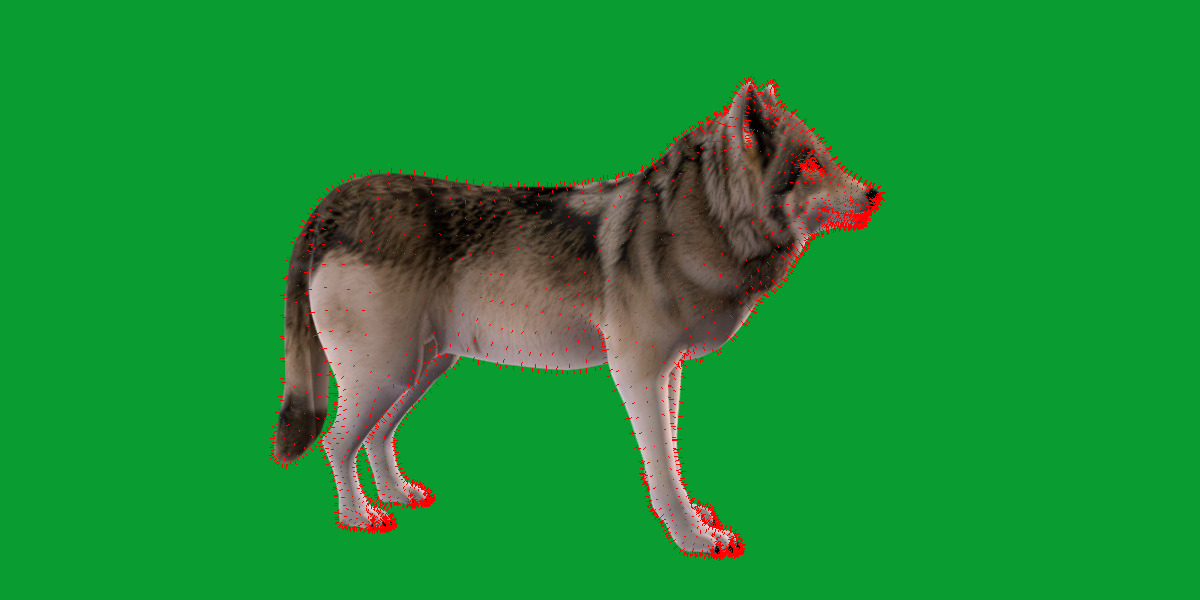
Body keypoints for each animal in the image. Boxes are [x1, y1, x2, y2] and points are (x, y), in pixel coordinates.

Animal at [273, 79, 882, 558]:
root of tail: (335, 202)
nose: (875, 192)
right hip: (390, 375)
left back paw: (397, 496)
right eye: (808, 164)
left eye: (826, 156)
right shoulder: (637, 372)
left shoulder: (670, 372)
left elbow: (671, 456)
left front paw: (694, 523)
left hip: (419, 373)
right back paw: (360, 517)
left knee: (375, 437)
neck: (700, 225)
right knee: (336, 442)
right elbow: (663, 470)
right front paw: (692, 537)